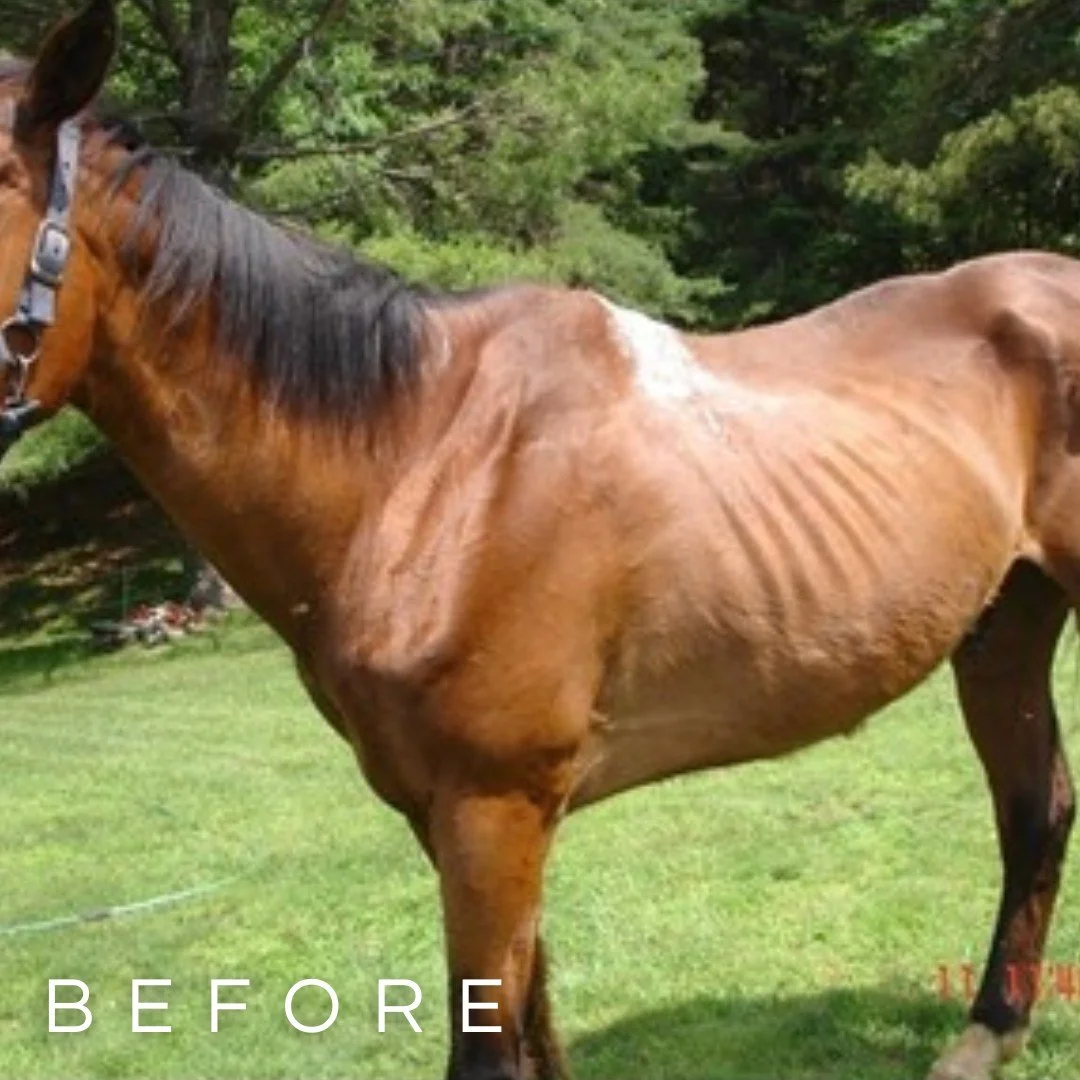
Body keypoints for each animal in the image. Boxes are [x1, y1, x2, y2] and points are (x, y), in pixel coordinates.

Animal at [2, 3, 1078, 1078]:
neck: (424, 460)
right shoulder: (451, 814)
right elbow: (532, 1019)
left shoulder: (493, 807)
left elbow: (487, 1041)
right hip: (1005, 626)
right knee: (1037, 808)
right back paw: (988, 1031)